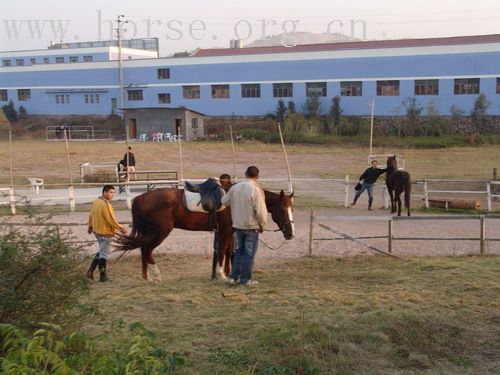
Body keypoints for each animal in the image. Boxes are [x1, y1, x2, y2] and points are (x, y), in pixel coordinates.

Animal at [114, 188, 292, 282]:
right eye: (283, 209)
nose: (290, 233)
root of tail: (141, 198)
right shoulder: (225, 231)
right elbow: (222, 252)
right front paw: (222, 275)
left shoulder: (228, 232)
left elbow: (227, 252)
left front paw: (226, 273)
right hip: (160, 232)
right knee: (147, 250)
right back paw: (157, 276)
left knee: (143, 250)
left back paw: (147, 277)